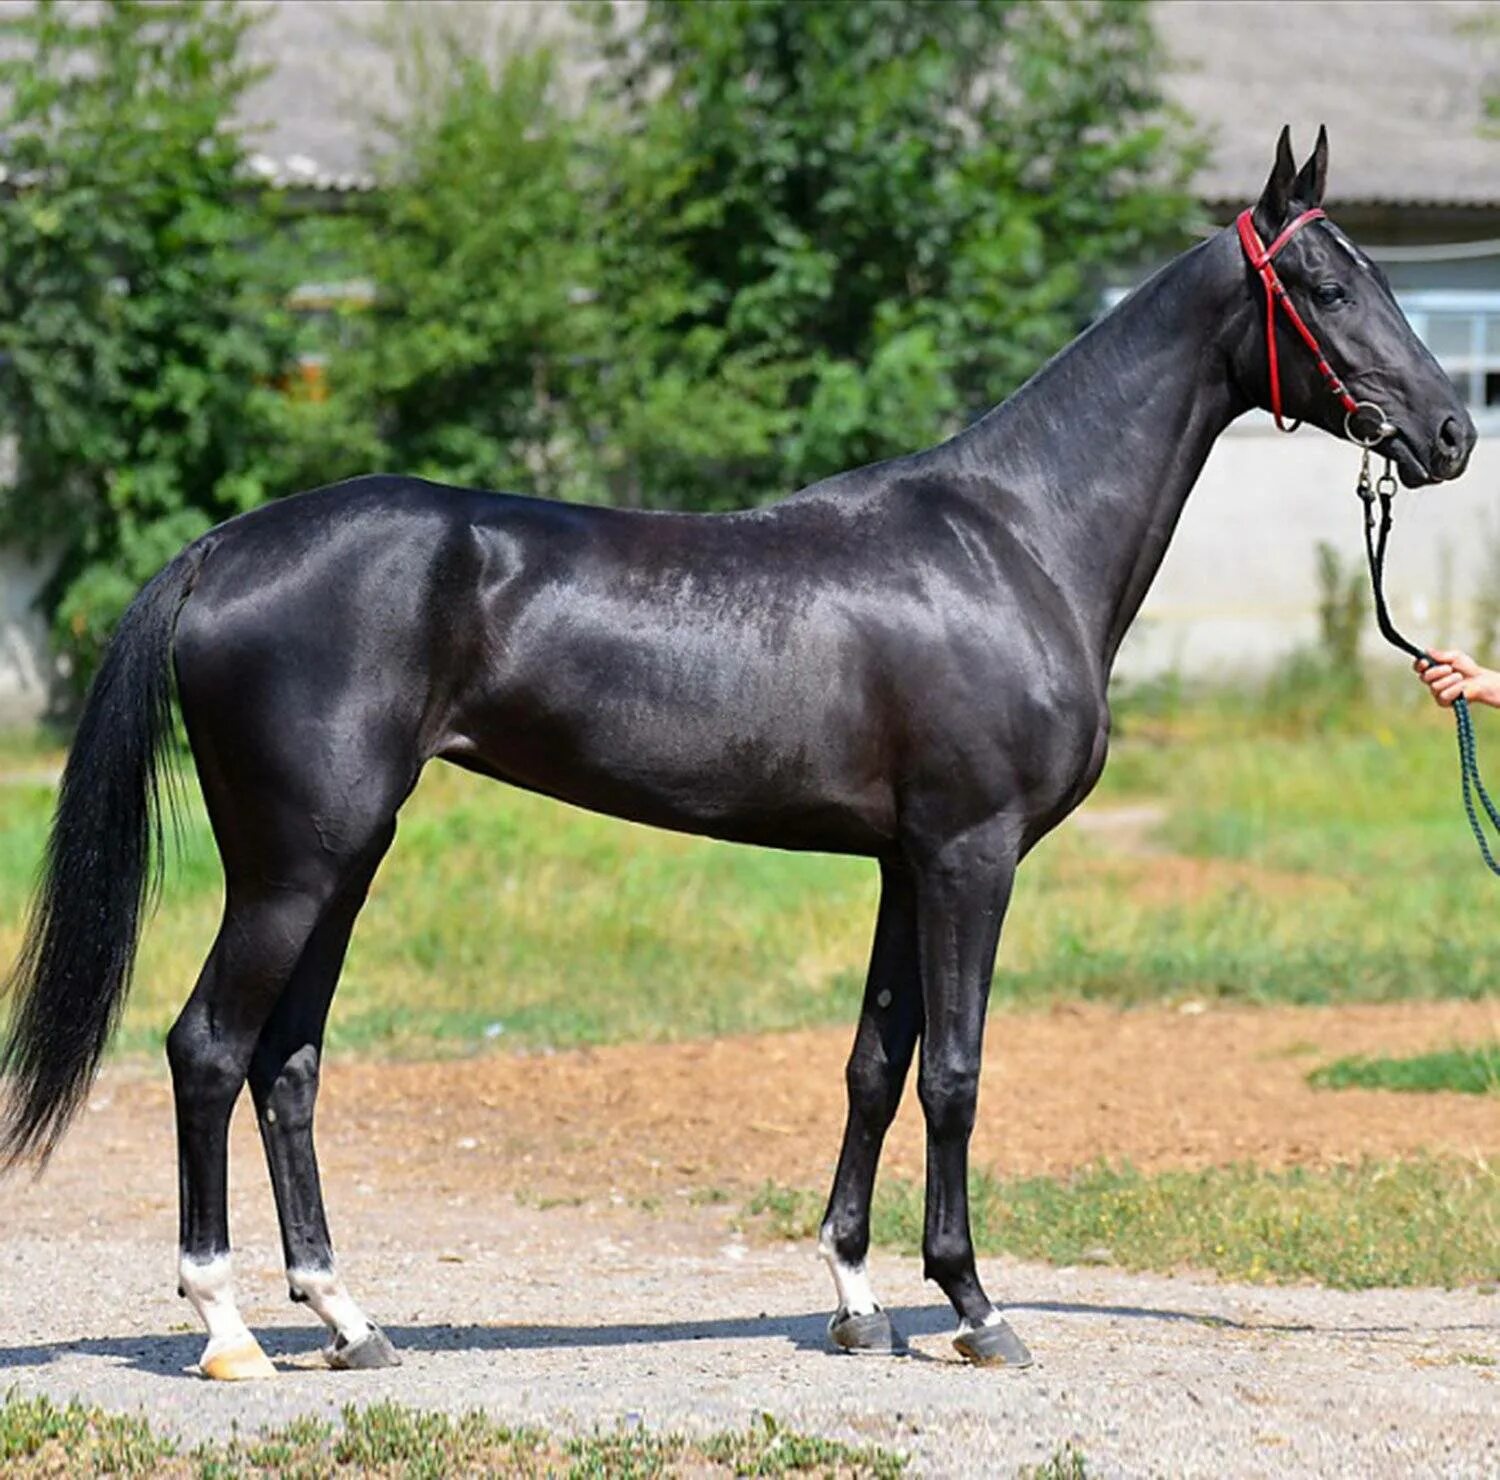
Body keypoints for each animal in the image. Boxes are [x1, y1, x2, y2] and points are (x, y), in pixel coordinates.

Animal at [0, 130, 1476, 1379]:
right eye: (1327, 284)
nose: (1451, 432)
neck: (1014, 538)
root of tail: (218, 549)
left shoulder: (904, 861)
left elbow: (875, 1065)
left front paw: (858, 1302)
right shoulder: (972, 854)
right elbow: (954, 1071)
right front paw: (974, 1308)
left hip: (345, 857)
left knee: (287, 1064)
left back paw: (349, 1322)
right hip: (294, 865)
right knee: (207, 1047)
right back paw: (227, 1329)